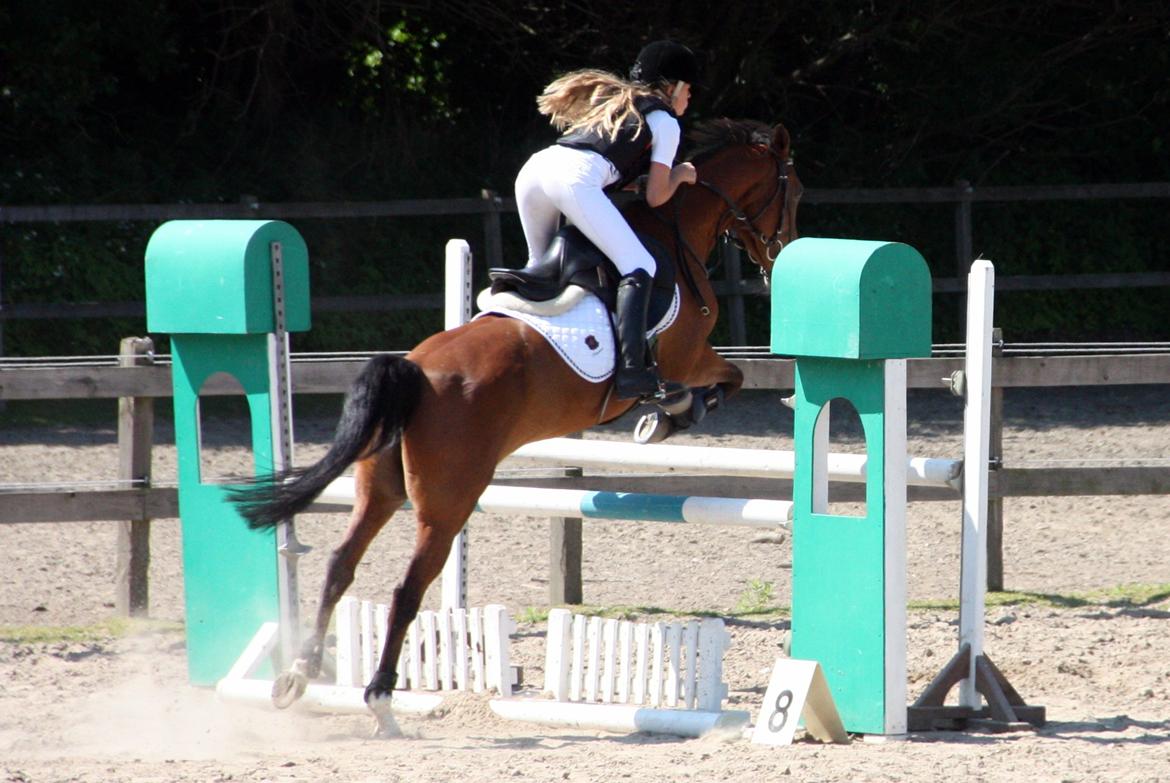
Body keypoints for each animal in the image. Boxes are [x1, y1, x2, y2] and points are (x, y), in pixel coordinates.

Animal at [233, 117, 809, 735]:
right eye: (794, 191)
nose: (780, 258)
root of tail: (414, 370)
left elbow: (730, 379)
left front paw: (664, 417)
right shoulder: (689, 355)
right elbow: (730, 378)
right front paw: (668, 415)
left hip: (379, 488)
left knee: (341, 565)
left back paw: (298, 674)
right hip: (447, 504)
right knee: (406, 588)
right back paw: (380, 698)